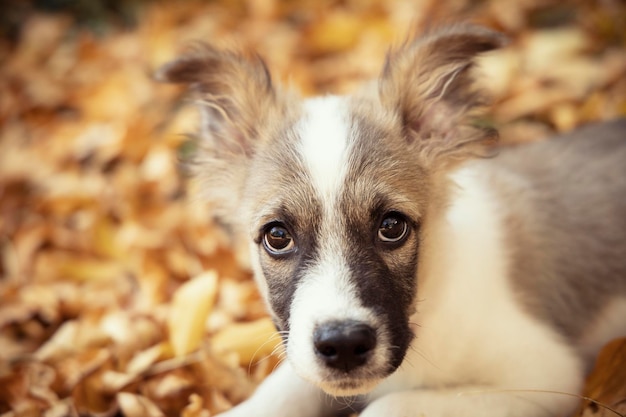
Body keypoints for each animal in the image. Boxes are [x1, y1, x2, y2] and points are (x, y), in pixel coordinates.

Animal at [158, 24, 624, 414]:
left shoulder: (544, 375)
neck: (431, 304)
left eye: (392, 226)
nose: (344, 346)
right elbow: (281, 390)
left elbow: (392, 405)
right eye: (277, 236)